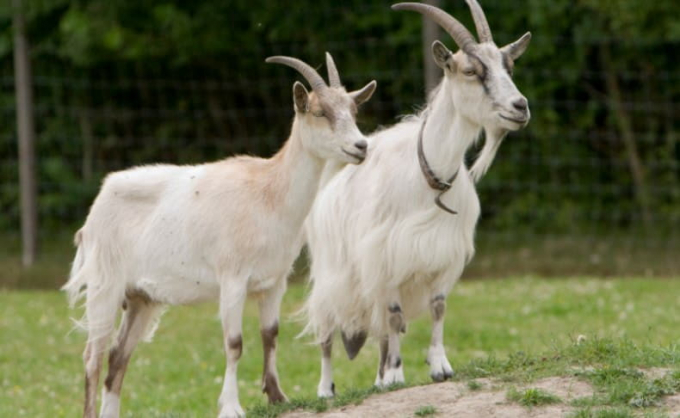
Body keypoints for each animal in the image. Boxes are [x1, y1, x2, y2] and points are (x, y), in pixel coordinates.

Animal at [63, 53, 377, 418]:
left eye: (353, 111)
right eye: (320, 112)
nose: (361, 146)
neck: (269, 193)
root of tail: (95, 210)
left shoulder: (274, 282)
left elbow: (270, 334)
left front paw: (277, 396)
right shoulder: (233, 279)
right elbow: (234, 343)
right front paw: (231, 406)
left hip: (141, 299)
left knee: (117, 357)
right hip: (105, 286)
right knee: (93, 357)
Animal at [303, 1, 532, 397]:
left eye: (510, 67)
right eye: (470, 71)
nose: (520, 107)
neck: (429, 176)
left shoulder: (442, 252)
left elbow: (437, 309)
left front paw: (439, 367)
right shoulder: (385, 255)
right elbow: (395, 315)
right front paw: (397, 374)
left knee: (378, 326)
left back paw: (378, 378)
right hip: (332, 272)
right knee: (328, 330)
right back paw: (327, 389)